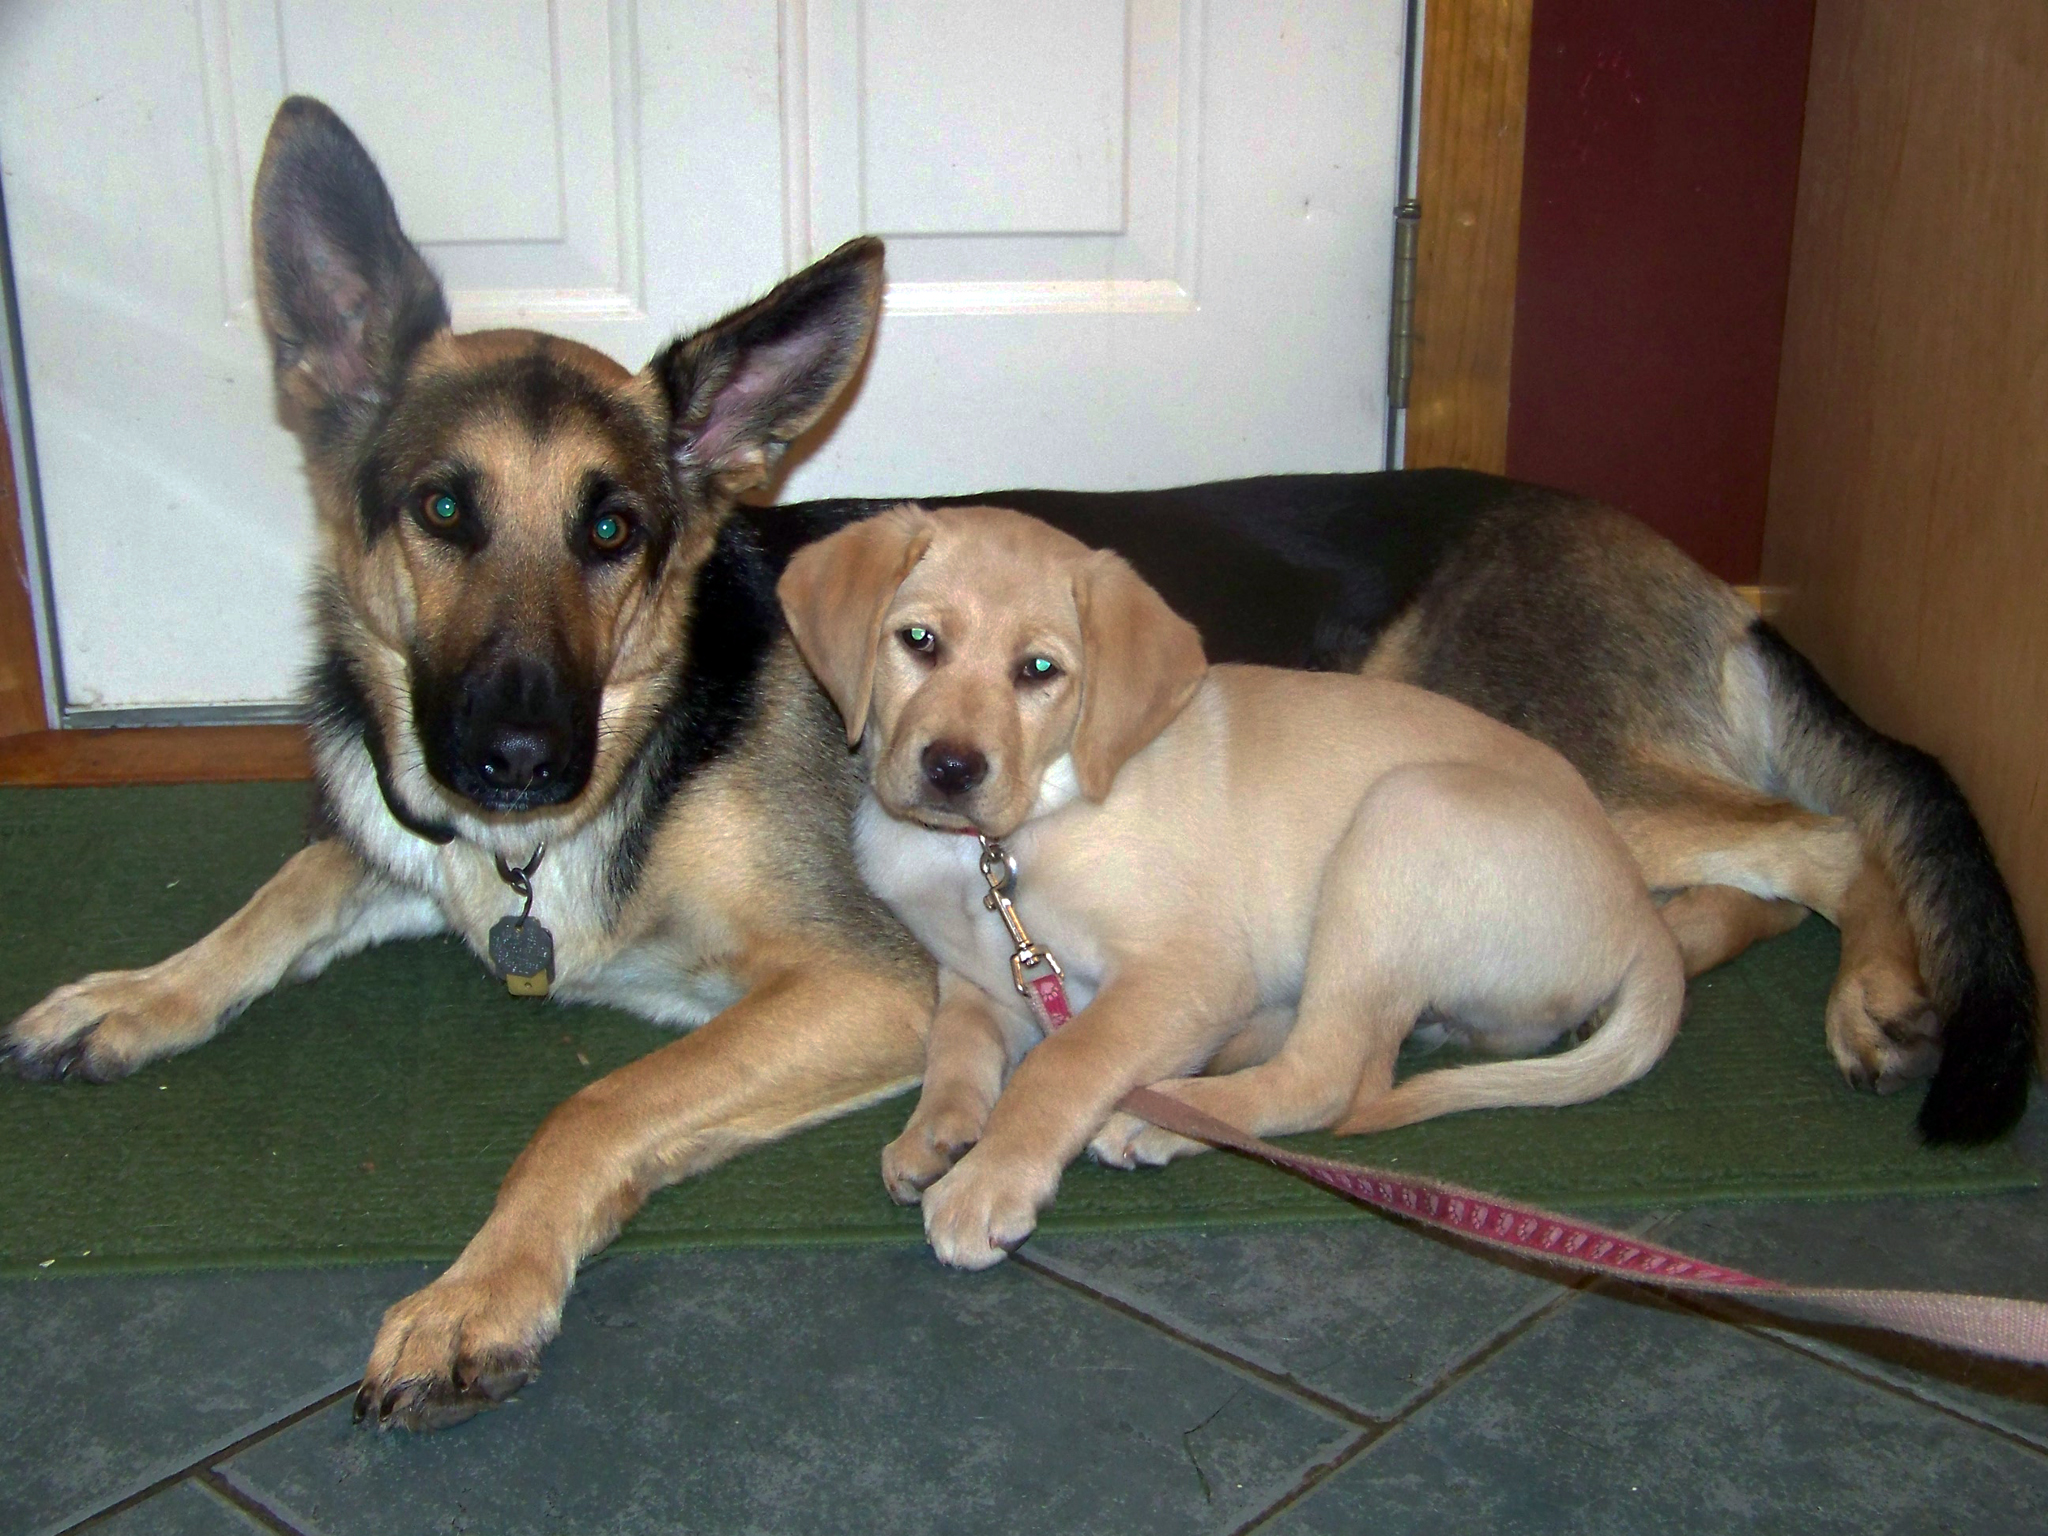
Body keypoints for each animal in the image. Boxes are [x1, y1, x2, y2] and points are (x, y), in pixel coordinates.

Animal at [770, 505, 1679, 1277]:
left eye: (1040, 670)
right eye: (918, 640)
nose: (952, 769)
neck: (992, 851)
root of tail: (1643, 917)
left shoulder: (1189, 970)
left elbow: (1065, 1061)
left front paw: (990, 1180)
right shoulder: (985, 975)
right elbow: (956, 1047)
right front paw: (938, 1132)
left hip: (1404, 816)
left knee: (1332, 1079)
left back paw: (1158, 1113)